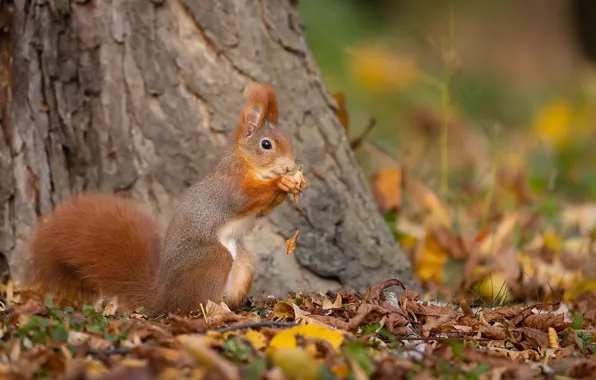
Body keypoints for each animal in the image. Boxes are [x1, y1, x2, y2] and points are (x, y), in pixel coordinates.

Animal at [22, 83, 302, 318]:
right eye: (266, 144)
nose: (289, 166)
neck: (248, 162)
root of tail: (163, 297)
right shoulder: (230, 184)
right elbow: (244, 199)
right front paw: (281, 182)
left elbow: (261, 212)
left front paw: (289, 185)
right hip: (213, 258)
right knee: (194, 305)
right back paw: (218, 311)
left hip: (244, 264)